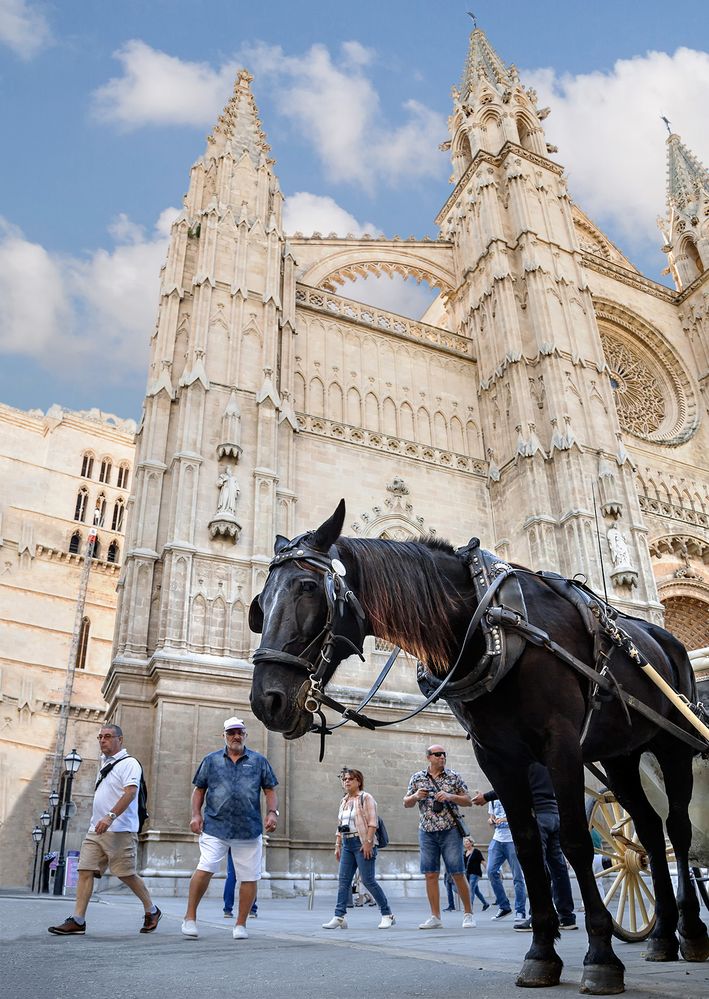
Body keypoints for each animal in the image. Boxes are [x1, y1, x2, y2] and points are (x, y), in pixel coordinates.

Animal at [249, 500, 708, 992]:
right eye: (260, 604)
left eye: (309, 587)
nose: (266, 700)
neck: (487, 623)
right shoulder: (496, 756)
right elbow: (525, 847)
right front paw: (541, 954)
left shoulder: (561, 745)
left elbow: (574, 841)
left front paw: (601, 956)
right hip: (621, 755)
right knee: (648, 830)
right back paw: (662, 936)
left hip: (673, 748)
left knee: (677, 829)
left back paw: (691, 932)